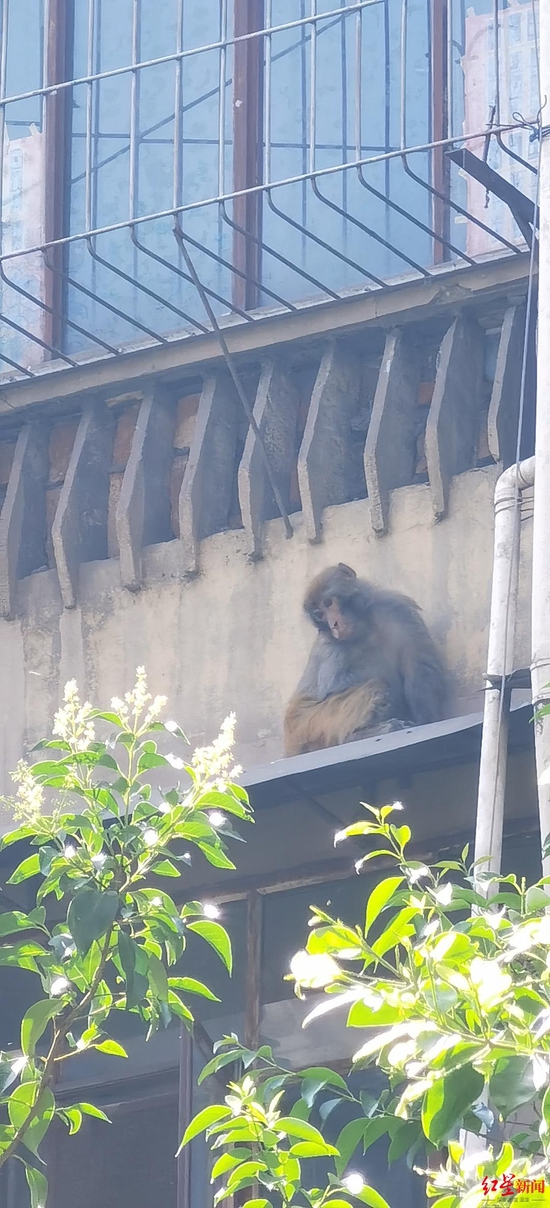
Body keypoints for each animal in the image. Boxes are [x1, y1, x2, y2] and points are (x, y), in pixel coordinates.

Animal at [284, 558, 447, 748]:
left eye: (328, 603)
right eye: (319, 614)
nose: (334, 625)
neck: (365, 625)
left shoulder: (398, 610)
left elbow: (418, 669)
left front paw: (426, 719)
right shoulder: (331, 647)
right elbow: (331, 689)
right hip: (310, 726)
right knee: (375, 684)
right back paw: (358, 735)